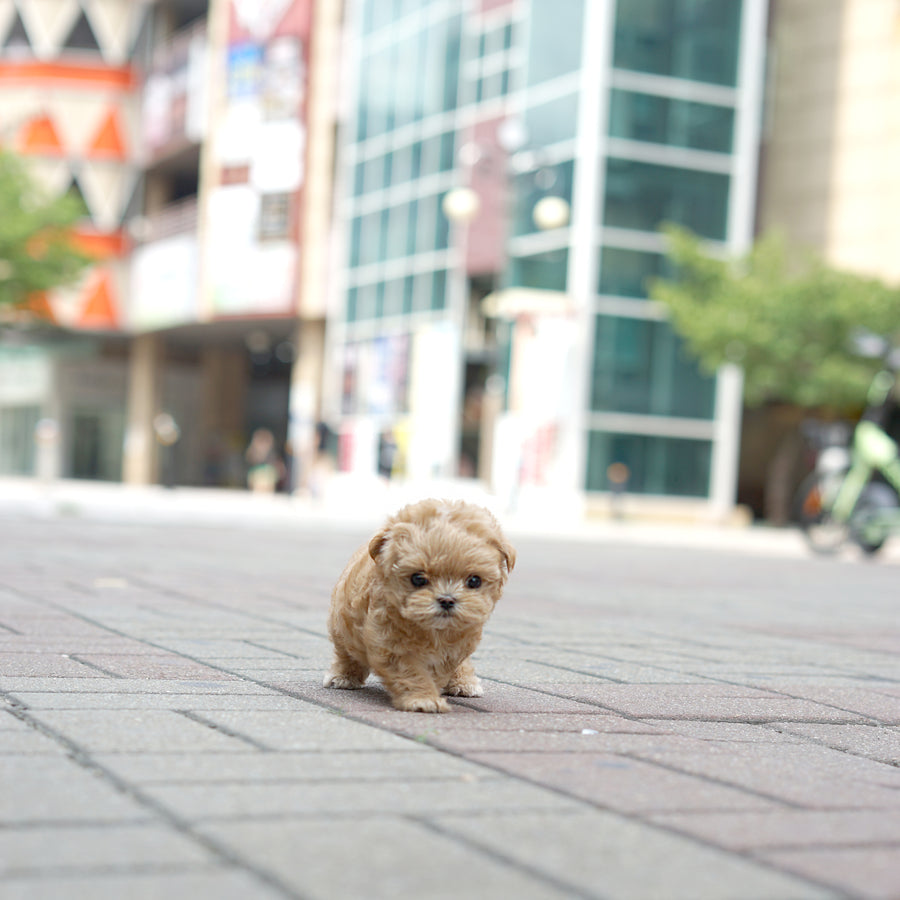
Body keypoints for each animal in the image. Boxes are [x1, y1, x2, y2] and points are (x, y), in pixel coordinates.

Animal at [326, 496, 516, 712]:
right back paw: (343, 677)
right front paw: (423, 699)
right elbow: (411, 672)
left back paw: (464, 682)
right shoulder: (390, 644)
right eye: (418, 578)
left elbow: (438, 670)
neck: (433, 631)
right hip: (341, 624)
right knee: (346, 653)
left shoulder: (454, 649)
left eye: (474, 581)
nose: (447, 599)